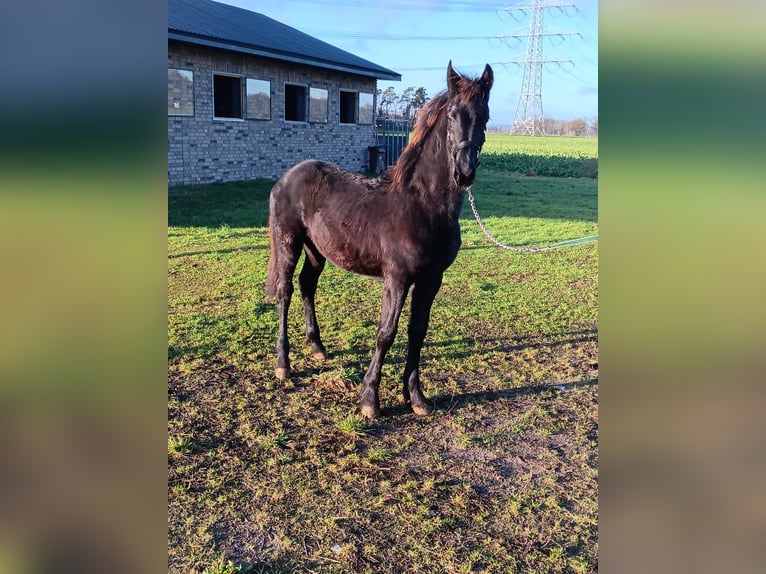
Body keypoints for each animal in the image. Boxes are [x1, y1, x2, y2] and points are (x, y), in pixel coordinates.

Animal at [268, 63, 496, 420]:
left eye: (485, 116)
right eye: (452, 116)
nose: (464, 172)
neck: (423, 206)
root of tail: (288, 176)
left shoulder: (431, 279)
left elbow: (417, 331)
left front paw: (416, 397)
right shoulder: (397, 278)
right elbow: (386, 334)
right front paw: (369, 400)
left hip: (316, 250)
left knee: (307, 286)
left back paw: (317, 348)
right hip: (288, 241)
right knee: (285, 292)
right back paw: (284, 364)